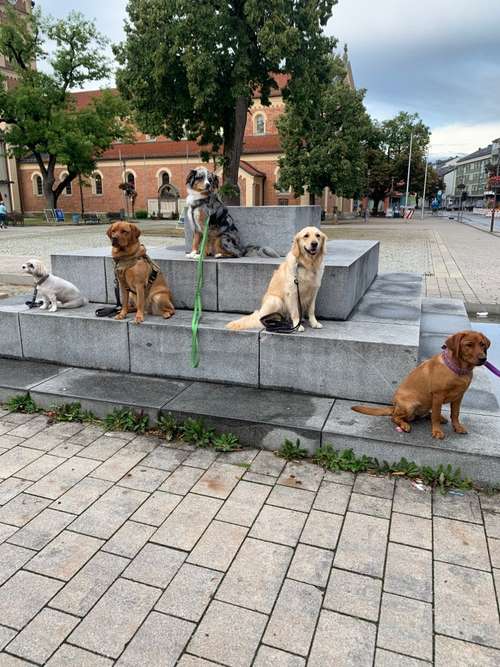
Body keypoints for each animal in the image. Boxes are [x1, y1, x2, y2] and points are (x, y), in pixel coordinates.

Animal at [354, 332, 490, 438]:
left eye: (482, 344)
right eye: (469, 345)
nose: (483, 358)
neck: (459, 370)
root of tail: (394, 407)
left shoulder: (459, 396)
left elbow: (455, 414)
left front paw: (457, 427)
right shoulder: (438, 395)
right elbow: (435, 416)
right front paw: (437, 431)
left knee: (425, 414)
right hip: (410, 405)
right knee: (394, 417)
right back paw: (404, 425)